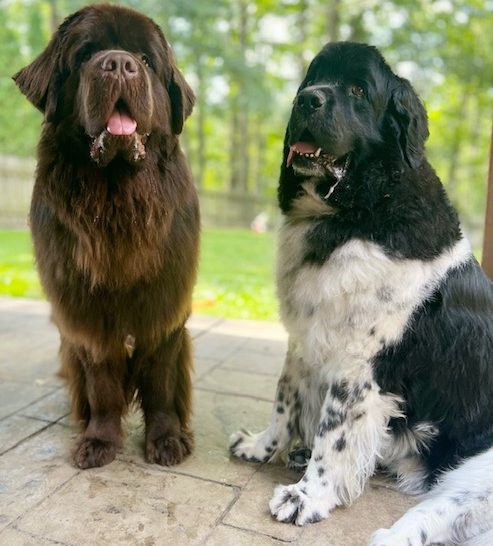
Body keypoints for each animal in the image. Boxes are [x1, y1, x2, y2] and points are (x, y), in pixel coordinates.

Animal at [13, 4, 198, 468]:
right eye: (84, 55)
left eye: (145, 60)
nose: (118, 63)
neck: (118, 200)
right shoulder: (85, 311)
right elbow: (101, 383)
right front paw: (99, 441)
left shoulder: (164, 304)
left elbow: (160, 380)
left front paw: (166, 440)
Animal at [230, 42, 492, 544]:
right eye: (312, 77)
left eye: (358, 91)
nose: (307, 100)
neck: (354, 216)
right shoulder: (303, 339)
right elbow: (284, 402)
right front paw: (262, 446)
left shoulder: (359, 366)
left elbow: (334, 437)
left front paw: (307, 496)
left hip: (476, 475)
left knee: (431, 516)